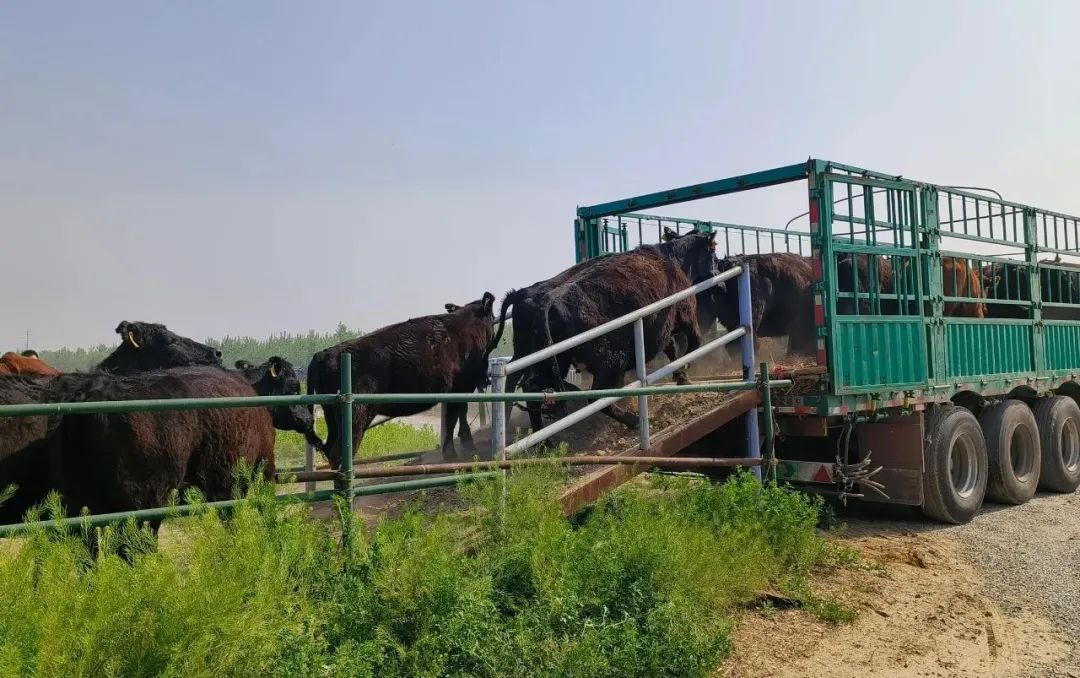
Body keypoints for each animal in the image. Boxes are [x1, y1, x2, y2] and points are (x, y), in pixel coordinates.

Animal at [308, 293, 496, 468]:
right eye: (493, 317)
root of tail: (324, 354)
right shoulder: (462, 386)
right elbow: (455, 416)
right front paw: (462, 450)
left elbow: (456, 416)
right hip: (356, 414)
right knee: (339, 451)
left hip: (331, 416)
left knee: (330, 447)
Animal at [494, 229, 717, 431]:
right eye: (713, 252)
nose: (715, 272)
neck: (672, 258)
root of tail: (547, 298)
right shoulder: (686, 316)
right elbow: (694, 342)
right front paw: (685, 370)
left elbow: (672, 349)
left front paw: (681, 376)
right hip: (610, 362)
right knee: (594, 398)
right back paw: (634, 421)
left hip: (550, 362)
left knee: (531, 389)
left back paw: (544, 440)